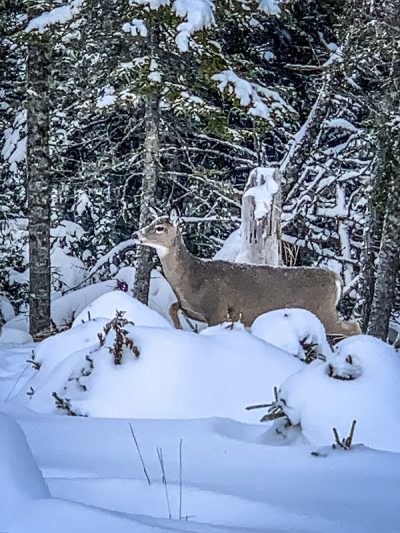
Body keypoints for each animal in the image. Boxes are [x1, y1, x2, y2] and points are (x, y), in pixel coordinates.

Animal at [133, 211, 360, 336]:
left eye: (160, 228)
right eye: (150, 222)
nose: (136, 234)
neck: (193, 278)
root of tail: (336, 278)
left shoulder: (217, 309)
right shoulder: (192, 308)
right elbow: (172, 307)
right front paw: (178, 328)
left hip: (323, 311)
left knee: (354, 327)